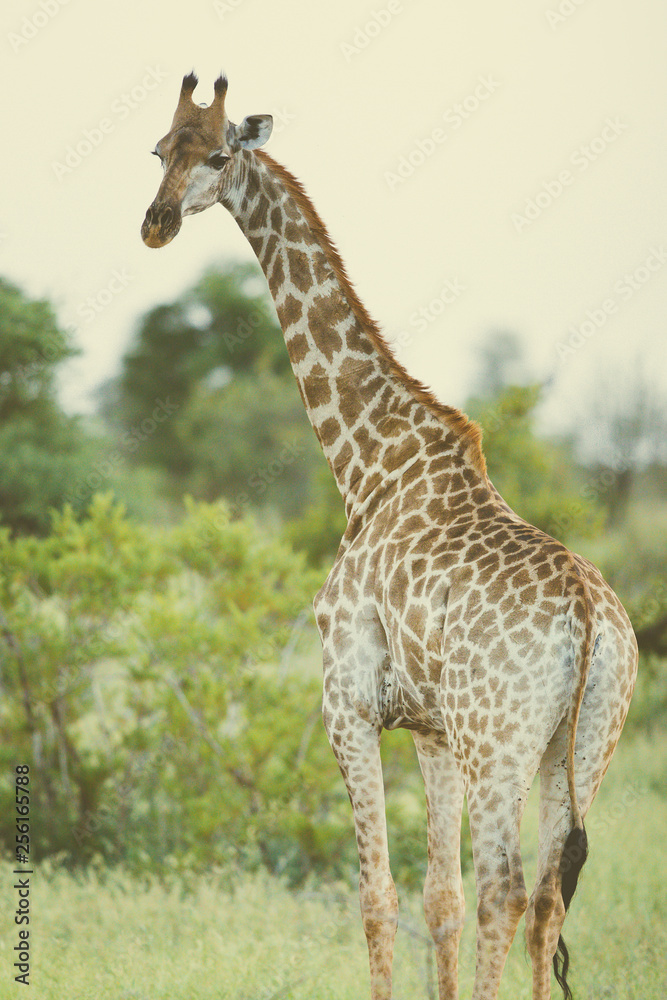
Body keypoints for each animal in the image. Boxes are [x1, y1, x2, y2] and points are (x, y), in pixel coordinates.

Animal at [141, 76, 636, 1000]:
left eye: (219, 154)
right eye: (159, 150)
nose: (154, 222)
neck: (364, 464)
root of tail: (590, 618)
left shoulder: (347, 701)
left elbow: (377, 898)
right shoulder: (430, 728)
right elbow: (437, 897)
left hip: (500, 741)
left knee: (506, 888)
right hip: (583, 743)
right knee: (546, 897)